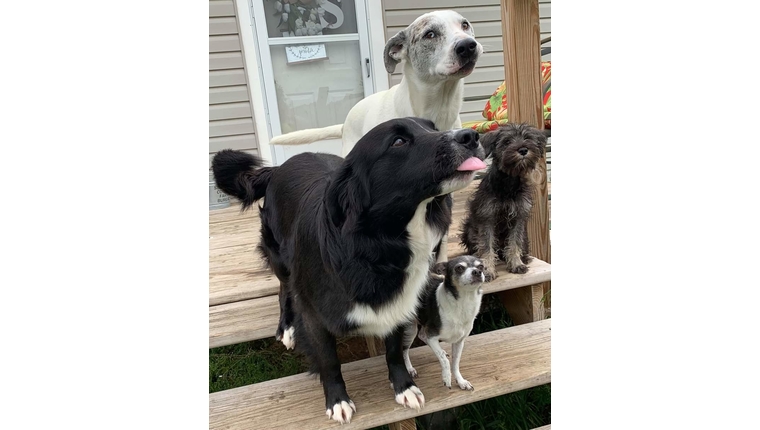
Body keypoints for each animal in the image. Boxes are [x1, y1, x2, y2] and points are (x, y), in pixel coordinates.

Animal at [211, 116, 484, 424]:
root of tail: (279, 167)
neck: (376, 244)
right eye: (398, 141)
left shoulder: (397, 306)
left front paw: (404, 387)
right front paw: (338, 400)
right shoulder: (315, 317)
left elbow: (394, 351)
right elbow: (329, 361)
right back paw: (287, 327)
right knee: (284, 289)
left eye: (433, 127)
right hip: (279, 256)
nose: (470, 137)